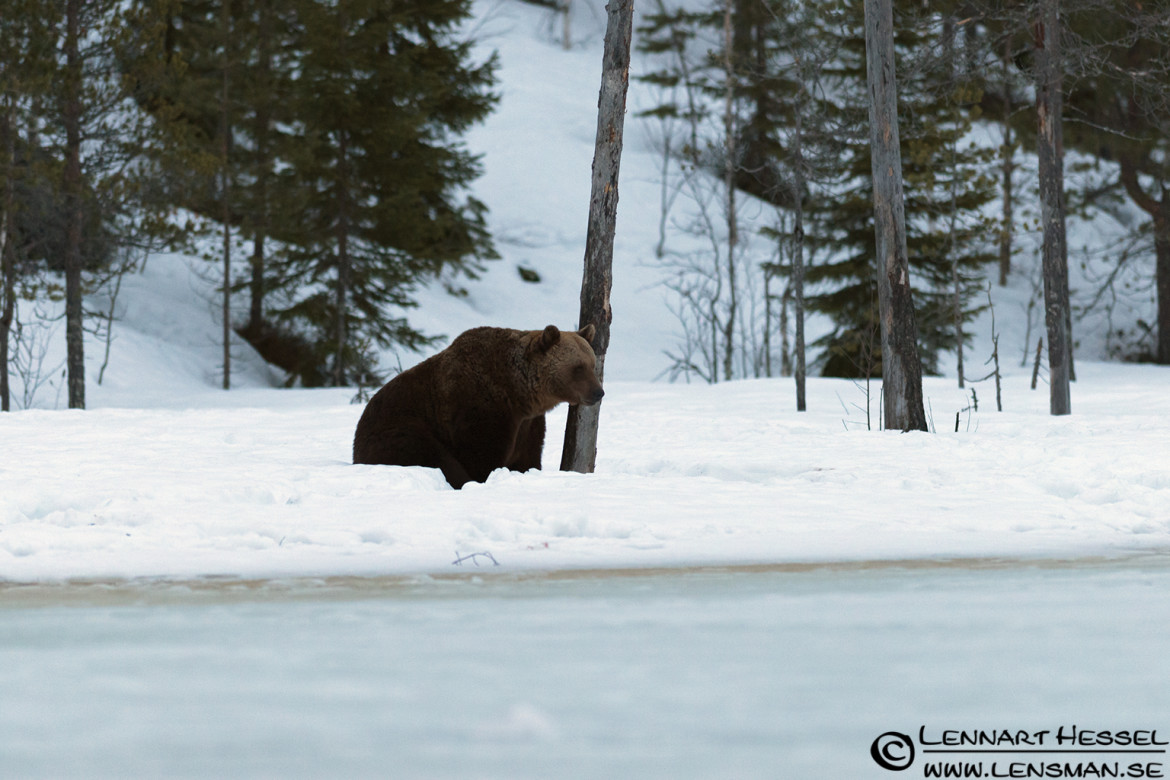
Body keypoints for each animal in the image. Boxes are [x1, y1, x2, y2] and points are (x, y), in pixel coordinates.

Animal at [352, 324, 604, 489]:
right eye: (578, 367)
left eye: (592, 364)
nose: (598, 392)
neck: (517, 393)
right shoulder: (480, 409)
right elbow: (480, 457)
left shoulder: (529, 424)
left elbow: (528, 458)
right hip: (396, 431)